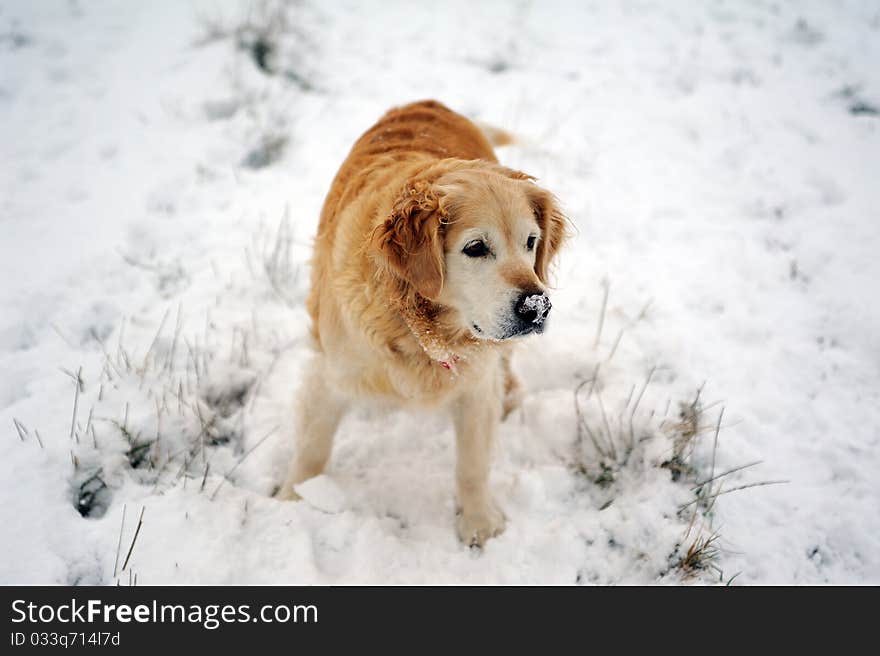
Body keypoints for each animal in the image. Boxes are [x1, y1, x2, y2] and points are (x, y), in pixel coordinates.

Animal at [276, 98, 568, 548]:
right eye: (476, 248)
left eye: (530, 242)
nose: (537, 307)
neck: (418, 327)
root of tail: (430, 102)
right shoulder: (331, 373)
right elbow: (312, 447)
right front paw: (293, 500)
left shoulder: (475, 384)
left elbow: (472, 463)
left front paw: (479, 523)